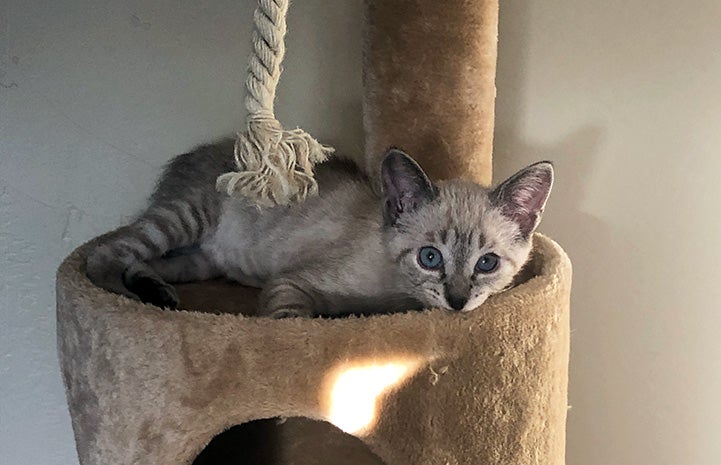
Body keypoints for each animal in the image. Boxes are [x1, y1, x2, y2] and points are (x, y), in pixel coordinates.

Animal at [87, 140, 556, 318]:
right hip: (185, 216)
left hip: (199, 263)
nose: (457, 302)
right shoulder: (289, 283)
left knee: (145, 261)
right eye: (429, 257)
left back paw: (158, 293)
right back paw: (126, 298)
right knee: (107, 253)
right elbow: (293, 323)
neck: (396, 295)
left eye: (487, 263)